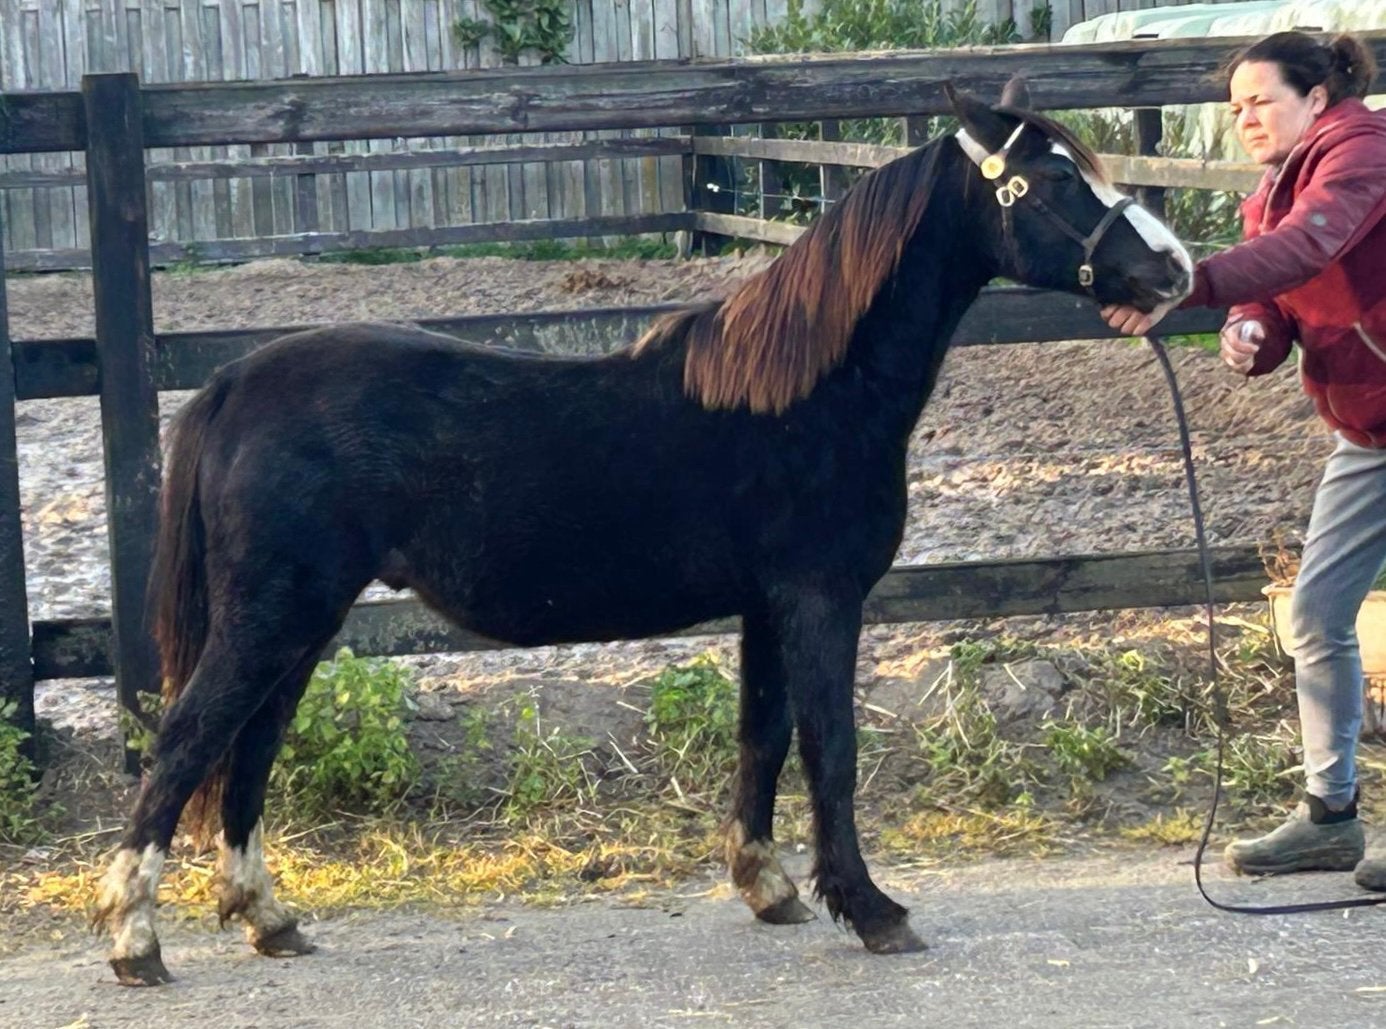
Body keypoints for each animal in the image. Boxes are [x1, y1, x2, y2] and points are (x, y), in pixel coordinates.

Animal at [93, 77, 1191, 985]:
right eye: (1058, 177)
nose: (1174, 270)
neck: (808, 395)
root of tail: (235, 381)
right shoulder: (821, 600)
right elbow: (830, 749)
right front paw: (873, 910)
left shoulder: (767, 609)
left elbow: (764, 738)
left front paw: (769, 887)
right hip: (275, 615)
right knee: (188, 741)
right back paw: (136, 940)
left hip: (302, 623)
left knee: (249, 749)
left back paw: (268, 918)